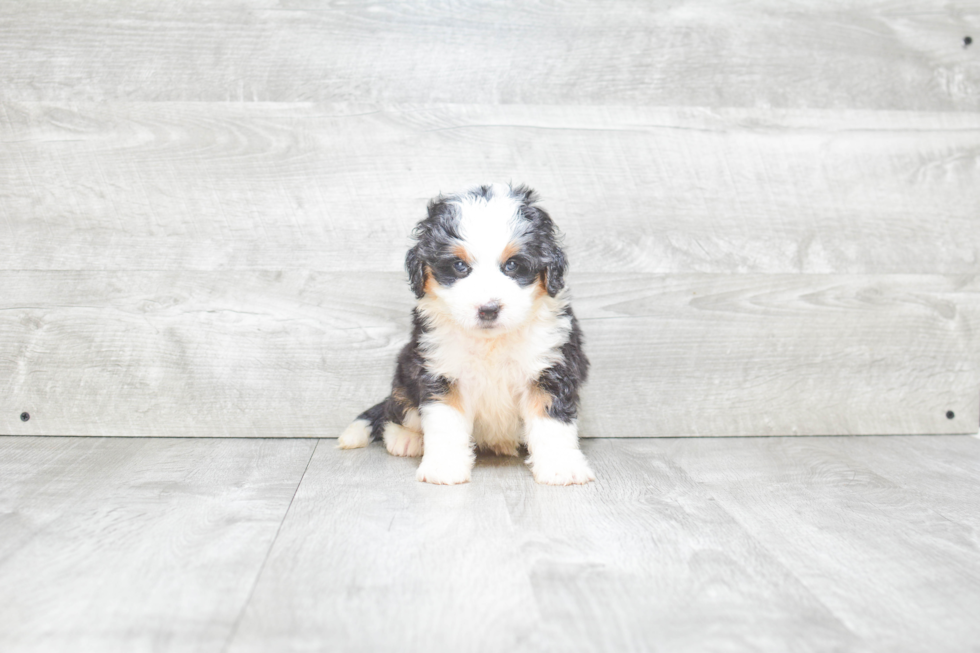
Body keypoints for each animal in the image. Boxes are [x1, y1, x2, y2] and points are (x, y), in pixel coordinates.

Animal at [336, 183, 596, 484]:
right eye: (460, 267)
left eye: (512, 265)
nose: (488, 309)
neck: (491, 343)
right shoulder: (441, 372)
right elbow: (445, 423)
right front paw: (443, 468)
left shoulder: (550, 367)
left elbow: (552, 422)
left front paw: (561, 467)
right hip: (405, 373)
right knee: (398, 409)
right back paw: (405, 439)